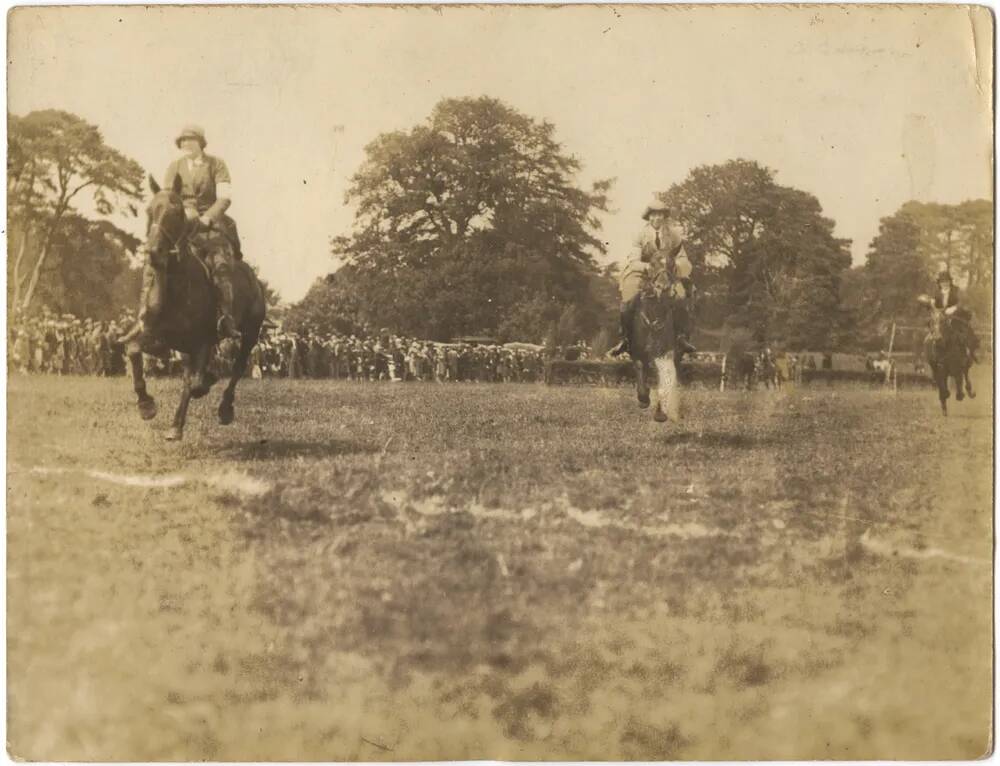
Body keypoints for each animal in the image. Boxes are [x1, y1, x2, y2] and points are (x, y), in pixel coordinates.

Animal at [124, 172, 266, 440]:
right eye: (149, 210)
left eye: (177, 211)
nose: (153, 252)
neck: (178, 288)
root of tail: (253, 278)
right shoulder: (158, 337)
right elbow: (134, 350)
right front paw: (146, 405)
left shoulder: (202, 342)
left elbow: (197, 383)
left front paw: (208, 381)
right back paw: (176, 425)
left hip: (250, 333)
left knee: (237, 367)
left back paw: (224, 409)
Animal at [628, 286, 684, 424]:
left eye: (667, 308)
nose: (656, 324)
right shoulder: (638, 355)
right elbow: (640, 368)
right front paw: (643, 400)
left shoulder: (667, 356)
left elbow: (663, 380)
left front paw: (660, 414)